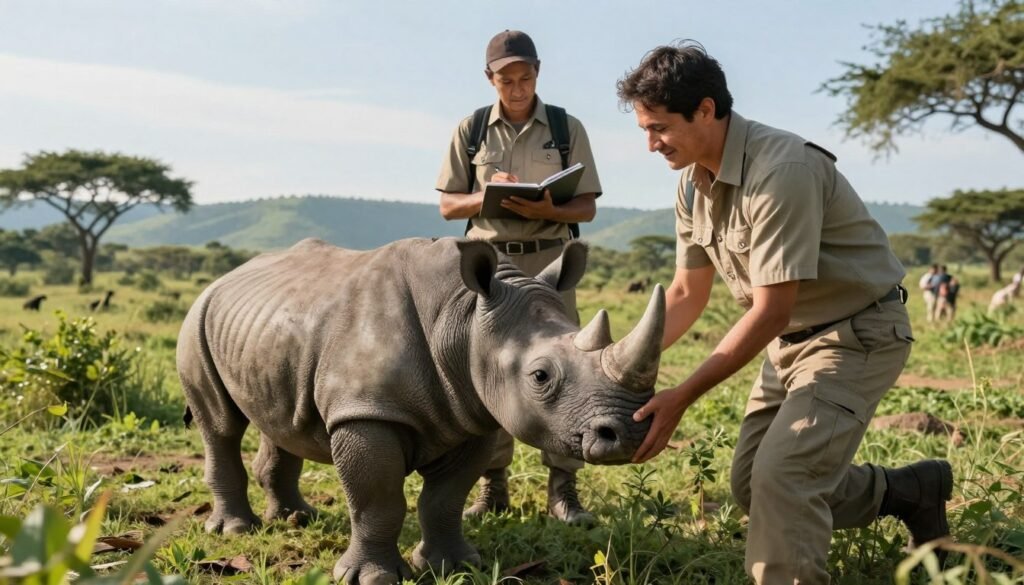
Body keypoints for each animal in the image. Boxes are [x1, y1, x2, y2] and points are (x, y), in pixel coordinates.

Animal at [177, 237, 664, 584]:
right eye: (540, 376)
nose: (630, 434)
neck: (464, 319)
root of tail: (225, 277)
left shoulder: (475, 413)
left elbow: (445, 499)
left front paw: (455, 566)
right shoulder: (365, 412)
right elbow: (378, 500)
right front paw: (371, 578)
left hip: (266, 330)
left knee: (278, 420)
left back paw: (297, 518)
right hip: (197, 318)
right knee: (220, 425)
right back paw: (235, 531)